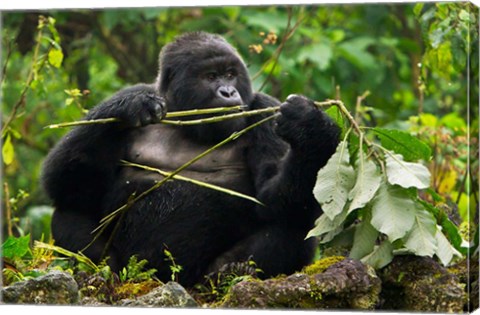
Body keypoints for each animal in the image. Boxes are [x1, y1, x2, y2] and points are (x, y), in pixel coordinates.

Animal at [42, 31, 342, 286]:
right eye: (211, 76)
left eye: (231, 75)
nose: (228, 92)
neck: (185, 120)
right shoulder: (134, 92)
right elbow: (68, 186)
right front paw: (129, 107)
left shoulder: (265, 110)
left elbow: (272, 198)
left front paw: (311, 128)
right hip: (135, 270)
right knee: (68, 211)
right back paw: (103, 272)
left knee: (294, 223)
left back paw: (231, 271)